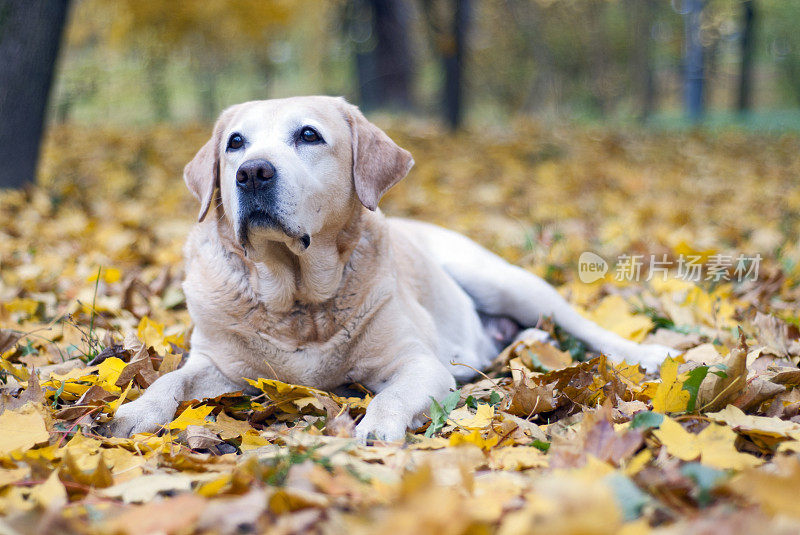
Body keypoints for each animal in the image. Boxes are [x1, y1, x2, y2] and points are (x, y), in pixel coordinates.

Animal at [109, 96, 680, 444]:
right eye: (235, 144)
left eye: (309, 136)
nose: (251, 173)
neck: (297, 299)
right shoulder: (220, 365)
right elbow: (171, 380)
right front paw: (136, 411)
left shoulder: (417, 362)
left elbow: (393, 395)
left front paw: (377, 428)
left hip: (504, 280)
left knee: (579, 323)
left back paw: (648, 353)